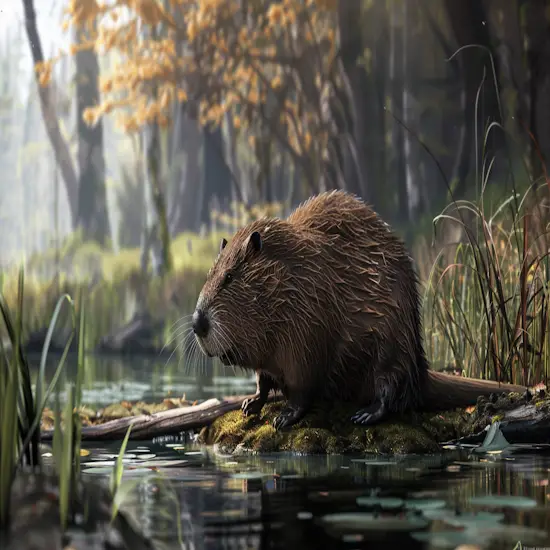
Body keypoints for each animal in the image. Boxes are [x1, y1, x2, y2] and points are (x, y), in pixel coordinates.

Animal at [192, 190, 528, 432]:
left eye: (229, 277)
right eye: (210, 274)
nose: (197, 322)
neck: (294, 275)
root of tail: (421, 372)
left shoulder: (306, 327)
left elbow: (303, 385)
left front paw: (284, 417)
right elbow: (263, 379)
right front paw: (250, 403)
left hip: (393, 342)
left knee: (390, 389)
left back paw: (365, 414)